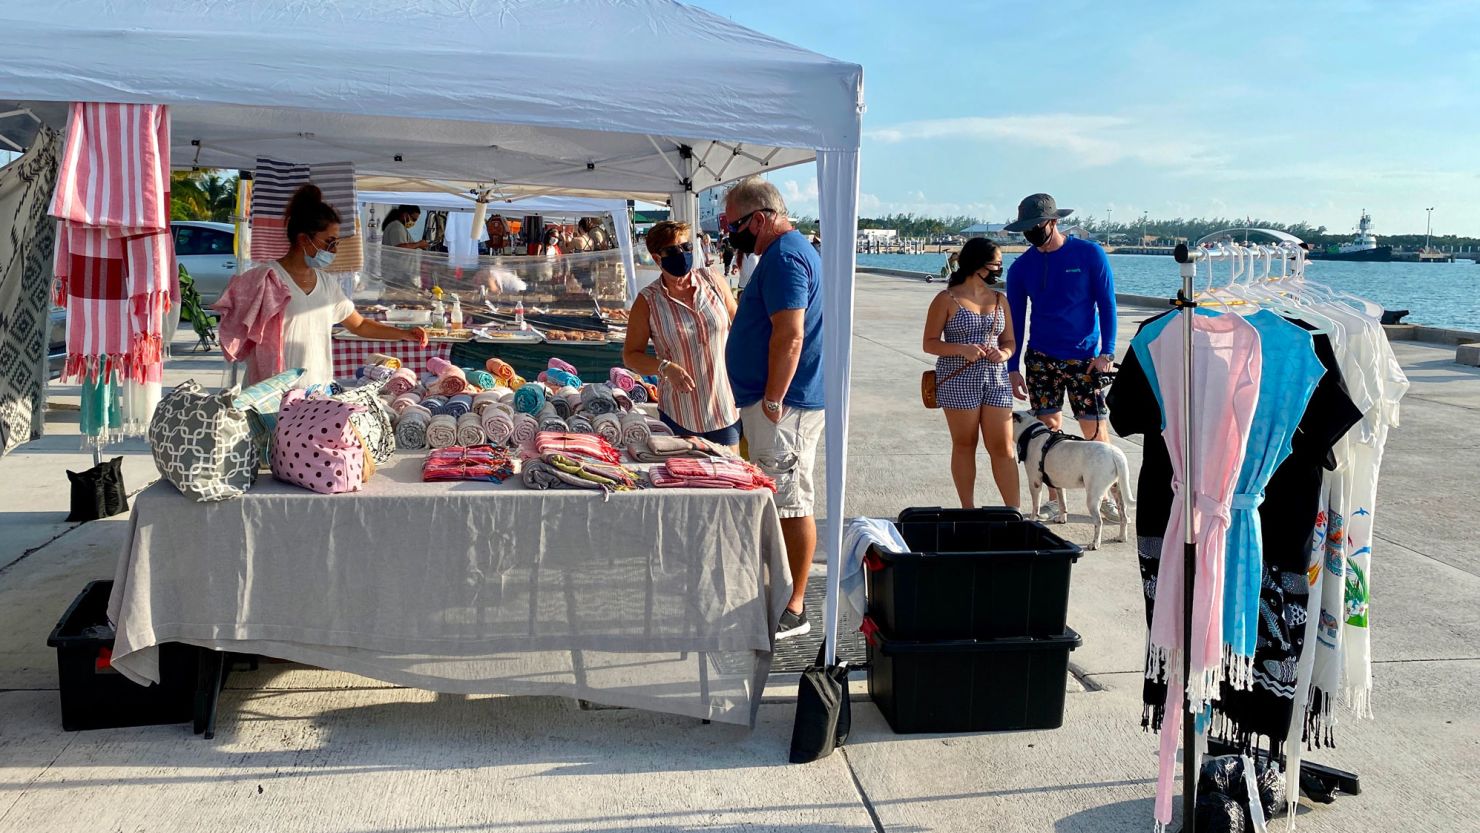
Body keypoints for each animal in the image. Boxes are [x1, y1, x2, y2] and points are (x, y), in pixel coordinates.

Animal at [1018, 411, 1130, 553]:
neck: (1033, 432)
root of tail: (1115, 455)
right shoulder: (1059, 485)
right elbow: (1062, 504)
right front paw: (1062, 519)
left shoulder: (1035, 483)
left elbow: (1035, 507)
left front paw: (1032, 520)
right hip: (1118, 491)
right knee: (1123, 516)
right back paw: (1121, 537)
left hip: (1093, 496)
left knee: (1098, 522)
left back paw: (1095, 544)